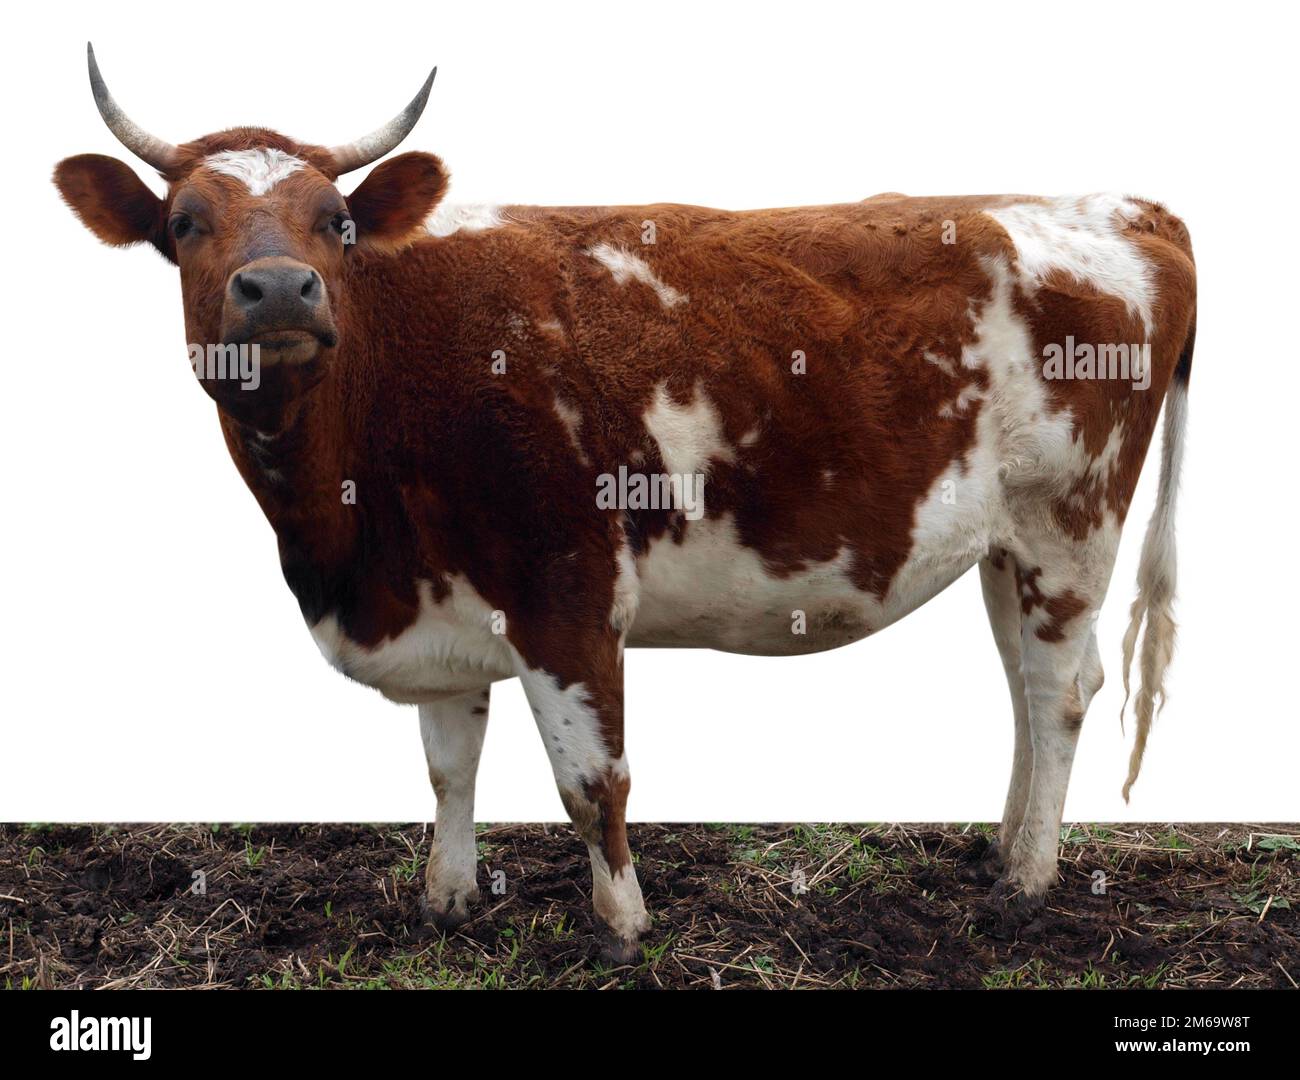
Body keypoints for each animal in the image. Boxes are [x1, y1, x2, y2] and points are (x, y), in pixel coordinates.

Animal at [56, 45, 1195, 962]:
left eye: (335, 221)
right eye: (183, 224)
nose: (282, 292)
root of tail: (1121, 205)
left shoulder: (567, 594)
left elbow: (590, 782)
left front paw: (621, 929)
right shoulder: (436, 593)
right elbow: (448, 765)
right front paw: (447, 902)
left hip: (1069, 522)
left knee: (1058, 691)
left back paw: (1029, 881)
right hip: (1003, 544)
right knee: (1027, 686)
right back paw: (1000, 845)